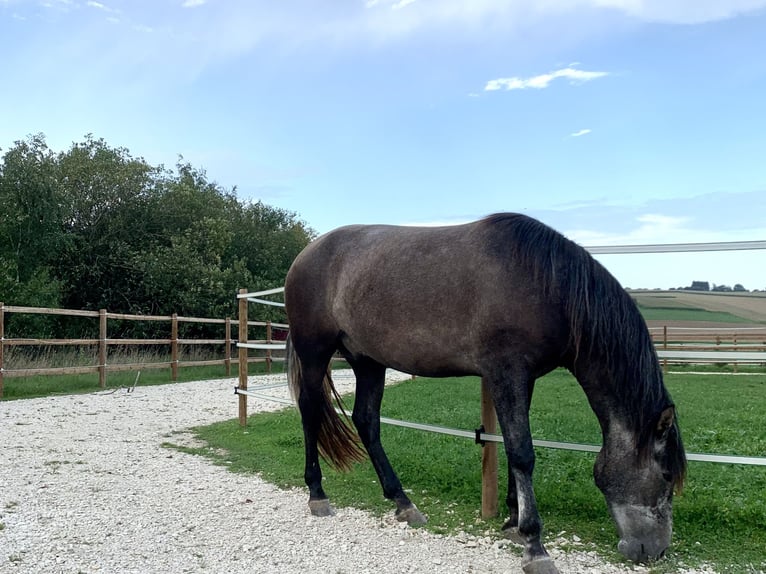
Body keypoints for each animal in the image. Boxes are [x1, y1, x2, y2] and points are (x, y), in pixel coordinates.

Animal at [284, 213, 688, 574]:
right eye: (667, 475)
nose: (656, 551)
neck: (546, 284)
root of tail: (305, 254)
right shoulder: (507, 373)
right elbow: (523, 453)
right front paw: (534, 544)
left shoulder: (522, 379)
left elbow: (512, 449)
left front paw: (512, 522)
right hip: (315, 351)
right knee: (309, 410)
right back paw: (317, 494)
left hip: (368, 361)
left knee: (366, 421)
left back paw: (403, 502)